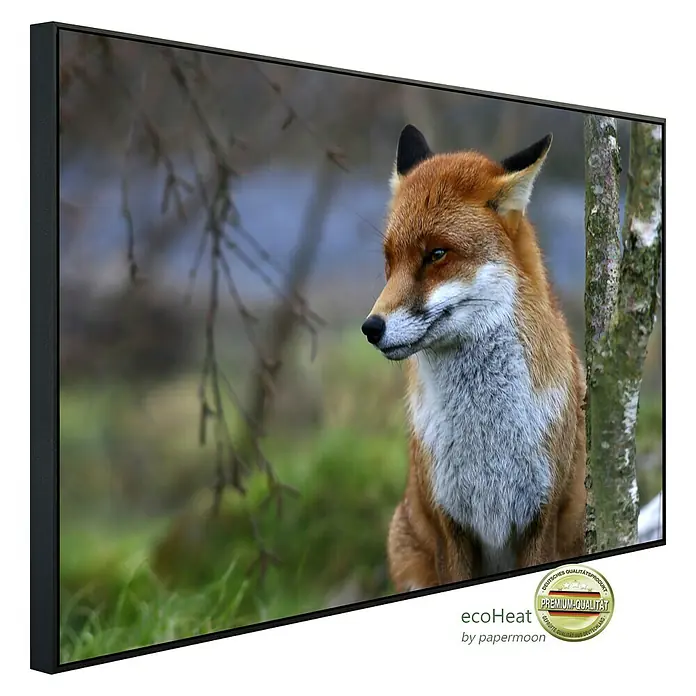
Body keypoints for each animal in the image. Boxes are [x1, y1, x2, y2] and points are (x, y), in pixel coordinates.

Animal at [361, 125, 586, 591]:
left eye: (436, 255)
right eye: (389, 261)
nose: (371, 328)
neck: (486, 439)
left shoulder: (541, 518)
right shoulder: (451, 527)